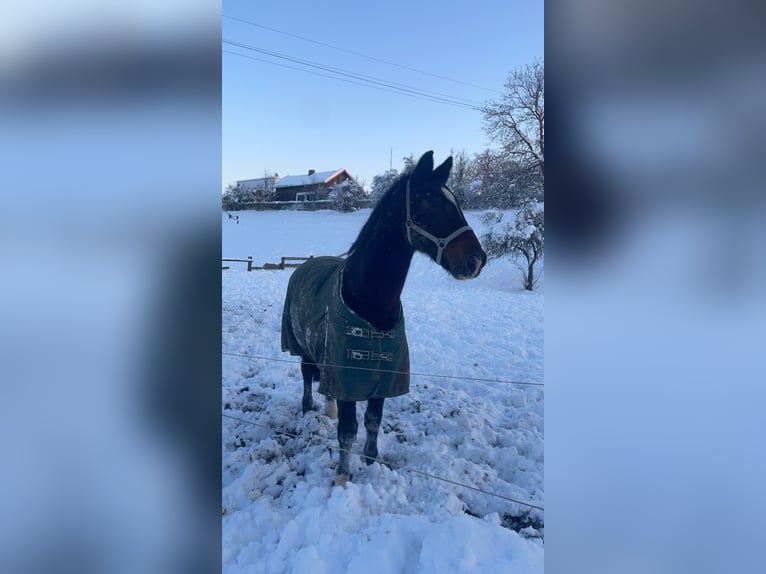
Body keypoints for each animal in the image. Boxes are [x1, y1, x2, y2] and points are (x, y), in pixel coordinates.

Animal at [280, 150, 486, 486]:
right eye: (431, 200)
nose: (477, 260)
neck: (371, 304)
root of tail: (304, 264)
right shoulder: (348, 377)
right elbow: (347, 431)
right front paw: (342, 477)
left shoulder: (385, 378)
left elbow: (373, 421)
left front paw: (371, 461)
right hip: (302, 347)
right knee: (307, 377)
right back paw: (309, 406)